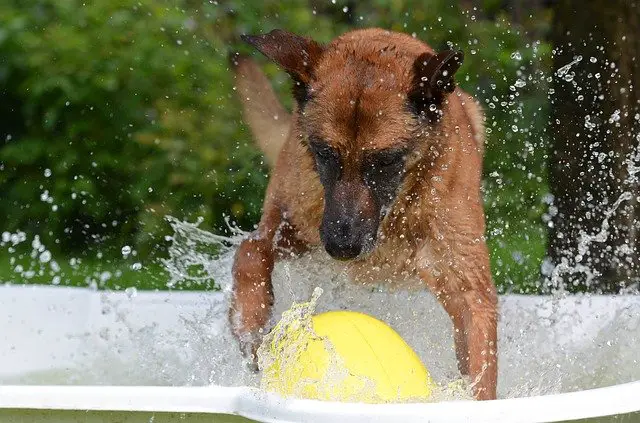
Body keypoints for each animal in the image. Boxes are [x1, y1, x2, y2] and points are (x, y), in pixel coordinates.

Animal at [228, 27, 498, 400]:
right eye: (325, 154)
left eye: (384, 161)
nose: (342, 247)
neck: (394, 215)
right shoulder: (293, 226)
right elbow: (251, 251)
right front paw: (250, 324)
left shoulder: (468, 286)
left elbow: (480, 359)